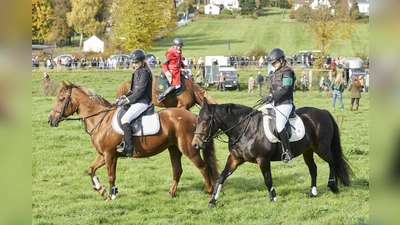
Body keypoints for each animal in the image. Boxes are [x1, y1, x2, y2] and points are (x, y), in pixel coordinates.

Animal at [47, 81, 219, 200]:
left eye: (61, 99)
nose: (50, 120)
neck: (101, 119)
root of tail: (194, 116)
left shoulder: (110, 155)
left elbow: (111, 176)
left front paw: (111, 195)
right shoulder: (103, 155)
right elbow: (90, 169)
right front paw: (100, 189)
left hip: (189, 149)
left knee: (204, 168)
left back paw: (210, 193)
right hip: (174, 149)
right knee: (177, 170)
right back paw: (170, 194)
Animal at [192, 98, 352, 207]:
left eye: (205, 122)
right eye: (197, 121)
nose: (195, 144)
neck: (245, 128)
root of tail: (323, 112)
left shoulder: (262, 159)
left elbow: (267, 179)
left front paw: (273, 197)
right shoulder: (235, 158)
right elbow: (221, 177)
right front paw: (212, 201)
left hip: (322, 149)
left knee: (333, 162)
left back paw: (333, 186)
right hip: (308, 151)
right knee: (313, 169)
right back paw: (313, 193)